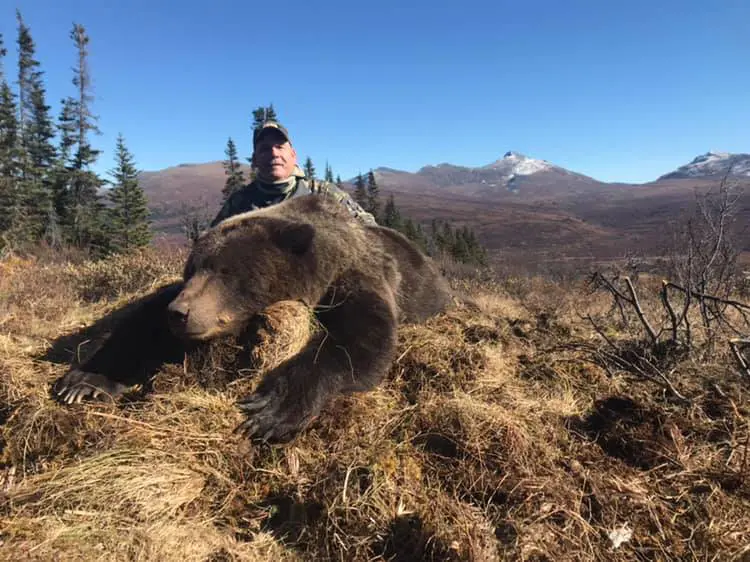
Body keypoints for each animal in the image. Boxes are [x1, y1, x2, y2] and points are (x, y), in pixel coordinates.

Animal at [53, 193, 453, 441]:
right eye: (193, 268)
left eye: (226, 271)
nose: (180, 314)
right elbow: (140, 325)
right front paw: (85, 382)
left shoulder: (353, 276)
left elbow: (364, 341)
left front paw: (270, 408)